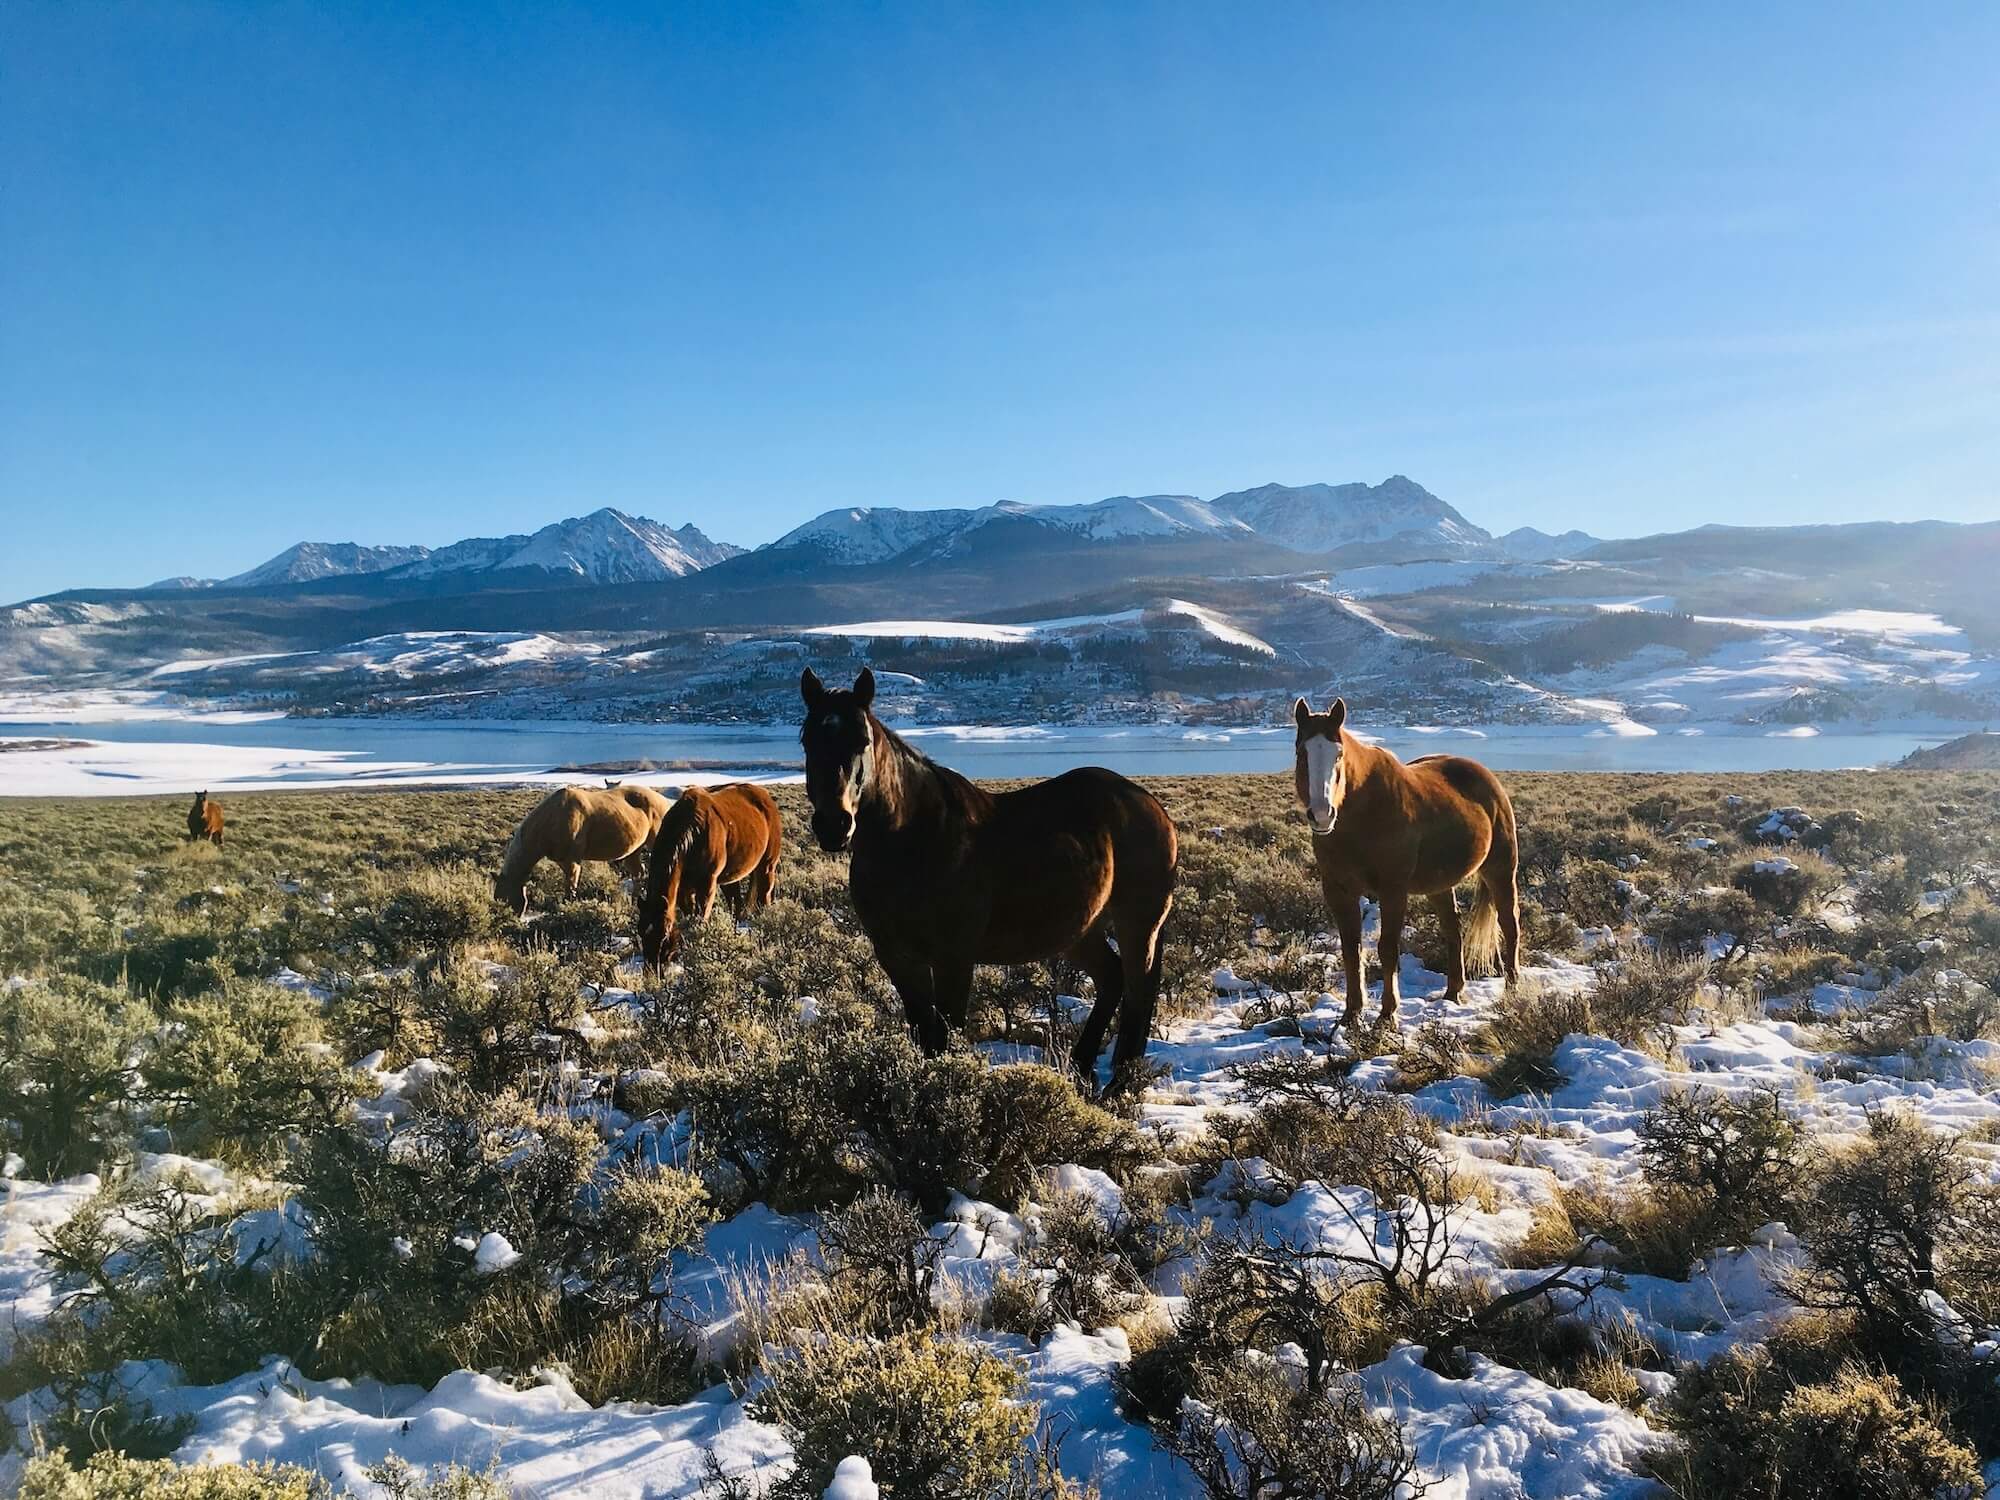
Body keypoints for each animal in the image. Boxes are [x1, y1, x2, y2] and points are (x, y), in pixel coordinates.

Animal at [493, 784, 675, 915]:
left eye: (505, 898)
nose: (510, 918)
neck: (552, 818)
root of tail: (664, 800)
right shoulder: (562, 861)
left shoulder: (572, 861)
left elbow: (571, 888)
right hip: (633, 850)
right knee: (639, 873)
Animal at [637, 782, 783, 966]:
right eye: (640, 933)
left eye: (664, 934)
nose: (653, 968)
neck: (692, 835)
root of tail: (765, 797)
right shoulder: (684, 889)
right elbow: (690, 915)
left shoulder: (706, 884)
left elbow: (701, 917)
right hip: (730, 879)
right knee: (736, 905)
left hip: (767, 866)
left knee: (764, 898)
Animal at [800, 666, 1179, 1080]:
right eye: (807, 741)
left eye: (863, 741)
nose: (834, 825)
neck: (913, 838)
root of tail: (1151, 805)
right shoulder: (896, 957)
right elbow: (922, 1032)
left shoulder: (953, 958)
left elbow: (943, 1036)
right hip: (1081, 930)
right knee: (1112, 979)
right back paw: (1082, 1068)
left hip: (1137, 925)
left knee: (1137, 993)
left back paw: (1119, 1080)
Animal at [1293, 696, 1520, 1027]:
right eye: (1302, 752)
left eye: (1338, 754)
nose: (1322, 815)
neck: (1362, 812)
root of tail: (1485, 776)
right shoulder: (1338, 890)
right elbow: (1351, 949)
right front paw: (1351, 1014)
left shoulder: (1393, 890)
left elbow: (1387, 949)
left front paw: (1387, 1014)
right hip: (1440, 884)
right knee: (1452, 928)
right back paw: (1453, 992)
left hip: (1501, 870)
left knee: (1509, 924)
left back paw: (1512, 991)